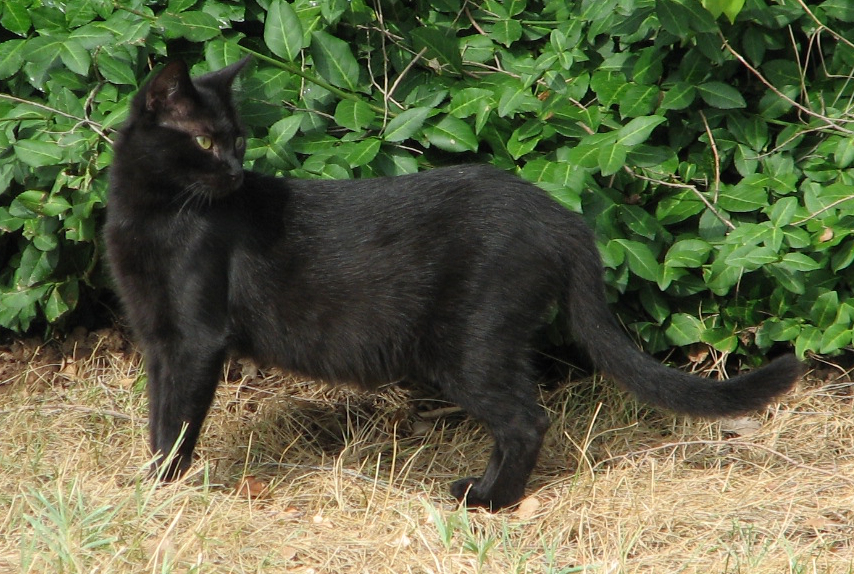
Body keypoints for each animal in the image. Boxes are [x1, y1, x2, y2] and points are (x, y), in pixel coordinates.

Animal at [108, 57, 804, 508]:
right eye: (208, 141)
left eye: (236, 141)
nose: (233, 170)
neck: (151, 214)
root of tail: (560, 217)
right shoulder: (160, 341)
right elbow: (159, 413)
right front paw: (150, 480)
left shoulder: (196, 339)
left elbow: (177, 421)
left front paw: (161, 489)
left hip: (469, 345)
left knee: (526, 421)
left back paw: (486, 501)